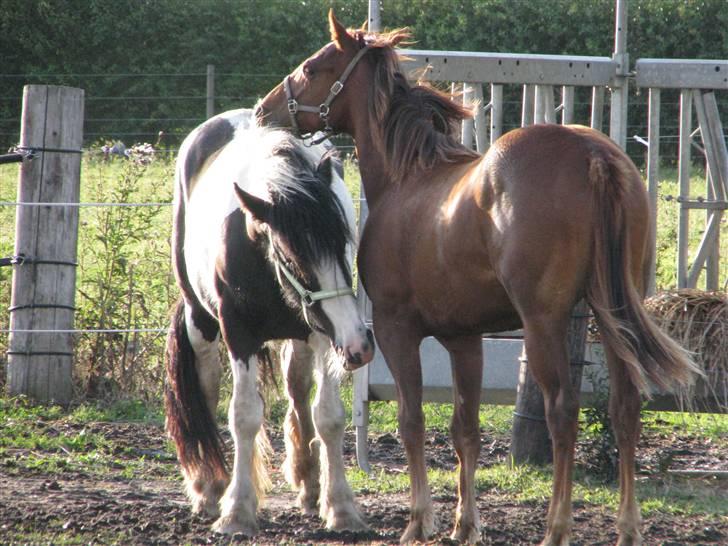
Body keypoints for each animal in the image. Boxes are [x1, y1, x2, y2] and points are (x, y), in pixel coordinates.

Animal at [163, 108, 372, 532]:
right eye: (293, 256)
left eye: (343, 243)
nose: (359, 344)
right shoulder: (238, 333)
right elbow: (244, 415)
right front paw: (237, 510)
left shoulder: (324, 334)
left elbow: (328, 416)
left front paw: (340, 506)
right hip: (200, 322)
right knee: (207, 389)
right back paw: (210, 487)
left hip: (305, 336)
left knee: (298, 389)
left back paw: (308, 482)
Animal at [256, 11, 700, 544]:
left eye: (313, 67)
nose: (264, 111)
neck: (408, 178)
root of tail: (595, 155)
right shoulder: (464, 340)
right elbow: (464, 429)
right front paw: (464, 524)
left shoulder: (395, 330)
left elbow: (412, 420)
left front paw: (419, 520)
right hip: (613, 313)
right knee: (625, 408)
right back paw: (628, 527)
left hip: (544, 324)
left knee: (563, 412)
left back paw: (557, 526)